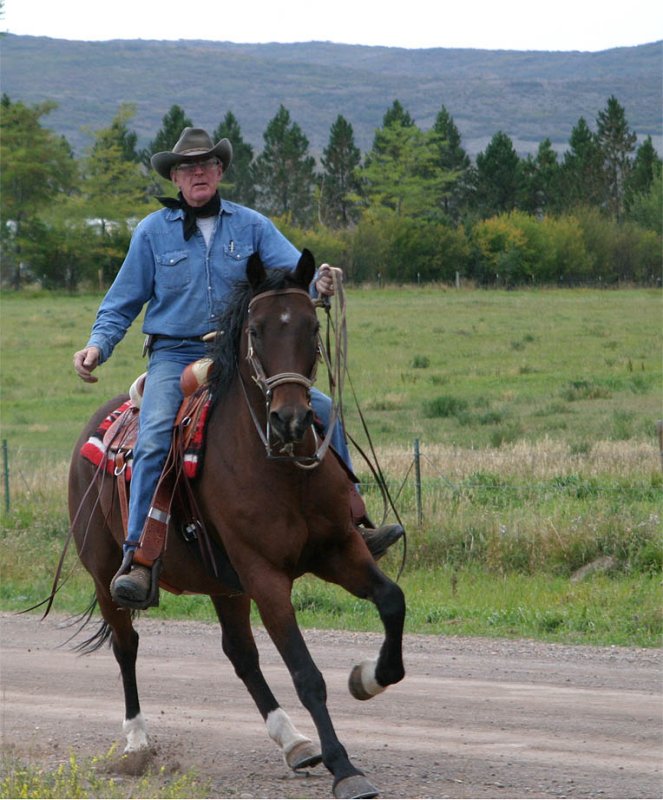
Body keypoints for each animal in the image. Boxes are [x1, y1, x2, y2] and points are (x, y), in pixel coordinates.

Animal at [70, 248, 408, 792]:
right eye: (256, 330)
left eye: (313, 325)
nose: (290, 420)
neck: (280, 470)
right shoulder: (265, 576)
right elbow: (306, 674)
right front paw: (345, 768)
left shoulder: (339, 550)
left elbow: (392, 601)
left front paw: (366, 678)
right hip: (105, 577)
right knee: (126, 647)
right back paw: (137, 741)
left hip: (225, 587)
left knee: (241, 655)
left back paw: (294, 742)